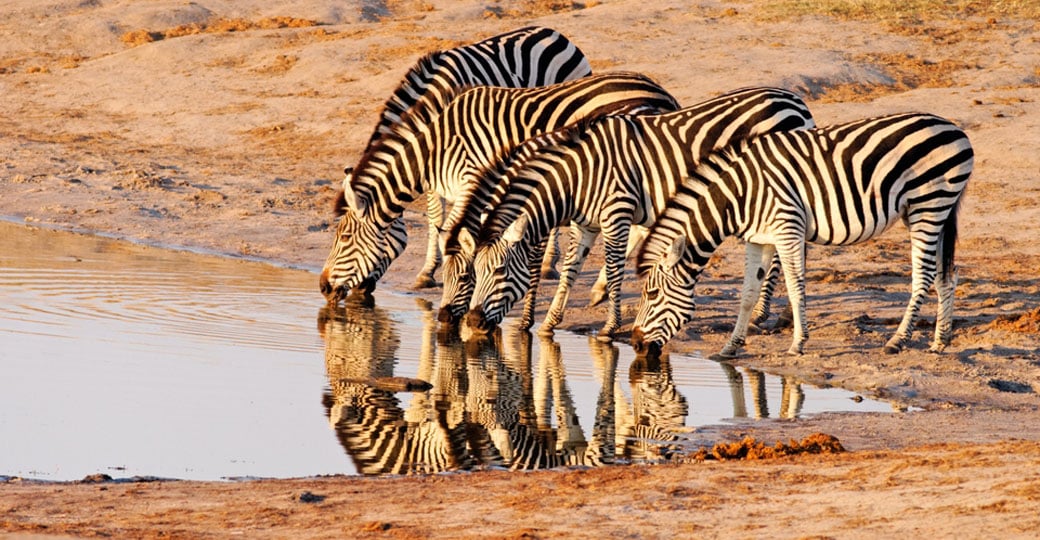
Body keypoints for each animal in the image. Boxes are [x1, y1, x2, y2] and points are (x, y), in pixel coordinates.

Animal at [320, 73, 679, 303]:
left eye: (344, 237)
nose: (322, 287)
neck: (436, 146)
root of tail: (660, 91)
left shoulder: (473, 178)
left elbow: (460, 234)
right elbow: (450, 230)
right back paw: (602, 287)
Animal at [323, 25, 592, 297]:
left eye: (344, 237)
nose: (324, 288)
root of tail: (553, 32)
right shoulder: (434, 169)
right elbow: (436, 219)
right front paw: (430, 271)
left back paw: (548, 264)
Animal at [454, 87, 815, 339]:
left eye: (498, 271)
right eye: (474, 272)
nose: (472, 322)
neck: (578, 175)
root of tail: (794, 101)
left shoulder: (616, 211)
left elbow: (615, 269)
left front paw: (609, 327)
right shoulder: (586, 224)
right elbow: (571, 269)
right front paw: (551, 321)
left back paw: (766, 314)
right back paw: (777, 314)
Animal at [630, 113, 973, 359]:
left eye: (652, 294)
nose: (634, 345)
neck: (739, 195)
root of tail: (955, 130)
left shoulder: (787, 228)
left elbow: (796, 288)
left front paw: (798, 343)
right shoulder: (759, 238)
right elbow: (748, 293)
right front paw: (730, 346)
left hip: (928, 205)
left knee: (924, 275)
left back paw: (898, 340)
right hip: (933, 211)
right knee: (947, 274)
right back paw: (940, 341)